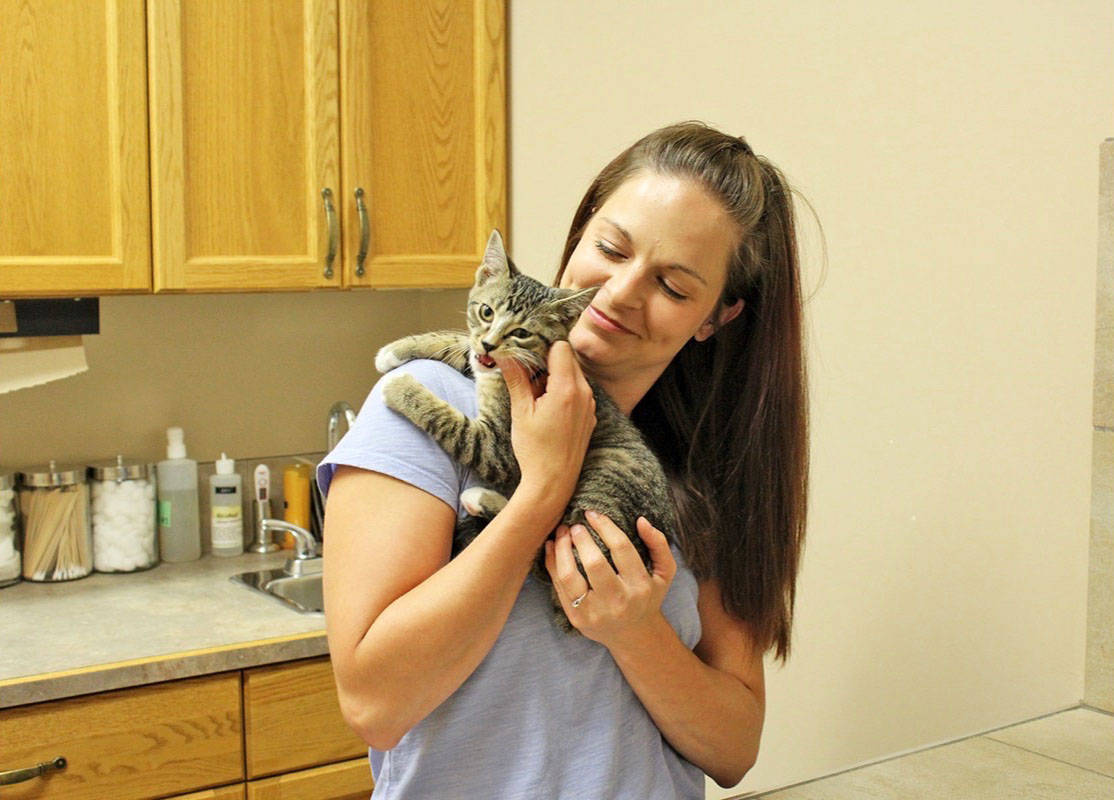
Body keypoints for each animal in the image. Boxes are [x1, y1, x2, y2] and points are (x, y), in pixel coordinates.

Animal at [374, 228, 672, 628]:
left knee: (549, 559)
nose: (489, 343)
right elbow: (459, 343)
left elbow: (455, 426)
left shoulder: (498, 447)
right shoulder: (481, 360)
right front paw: (397, 349)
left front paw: (402, 388)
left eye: (521, 332)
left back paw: (482, 499)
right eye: (486, 311)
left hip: (600, 491)